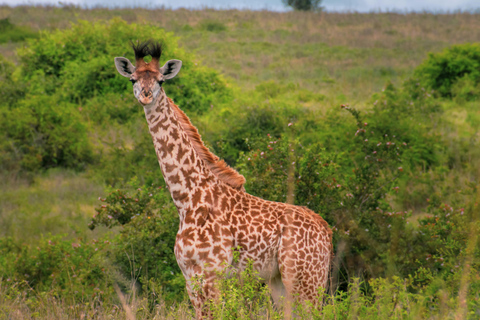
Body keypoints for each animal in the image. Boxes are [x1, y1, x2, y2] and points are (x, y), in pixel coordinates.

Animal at [116, 40, 334, 318]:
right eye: (132, 79)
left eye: (161, 81)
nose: (145, 95)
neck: (187, 197)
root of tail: (327, 231)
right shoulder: (190, 277)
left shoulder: (212, 274)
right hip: (280, 281)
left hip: (305, 279)